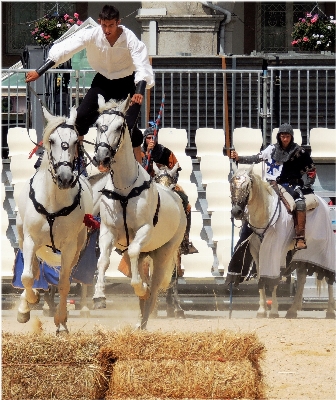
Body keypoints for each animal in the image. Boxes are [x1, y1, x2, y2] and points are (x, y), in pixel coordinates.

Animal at [16, 105, 93, 332]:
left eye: (75, 141)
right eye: (51, 141)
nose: (65, 178)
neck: (53, 201)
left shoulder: (68, 247)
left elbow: (64, 283)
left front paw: (61, 321)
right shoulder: (31, 240)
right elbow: (27, 276)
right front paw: (28, 304)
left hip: (77, 248)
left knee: (63, 278)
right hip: (23, 238)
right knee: (33, 270)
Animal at [92, 96, 186, 328]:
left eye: (119, 126)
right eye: (98, 125)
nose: (102, 158)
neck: (124, 189)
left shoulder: (143, 231)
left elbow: (134, 255)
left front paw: (140, 288)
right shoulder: (107, 231)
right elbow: (103, 260)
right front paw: (99, 296)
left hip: (165, 252)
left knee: (157, 283)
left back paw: (145, 314)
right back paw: (140, 319)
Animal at [230, 165, 334, 318]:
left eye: (248, 185)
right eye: (232, 185)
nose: (236, 211)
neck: (264, 215)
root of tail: (323, 203)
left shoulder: (275, 251)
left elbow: (274, 280)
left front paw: (273, 311)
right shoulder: (256, 252)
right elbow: (261, 278)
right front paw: (262, 310)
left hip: (324, 250)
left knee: (328, 276)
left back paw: (330, 310)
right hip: (301, 253)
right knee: (302, 278)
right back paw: (292, 310)